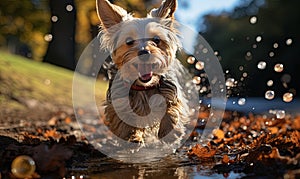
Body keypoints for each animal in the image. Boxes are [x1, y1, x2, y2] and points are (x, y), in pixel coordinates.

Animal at [97, 0, 189, 143]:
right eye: (129, 41)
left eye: (156, 40)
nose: (144, 52)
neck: (144, 87)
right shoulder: (118, 101)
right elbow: (123, 118)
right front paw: (132, 136)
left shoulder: (170, 89)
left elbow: (172, 106)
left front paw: (169, 131)